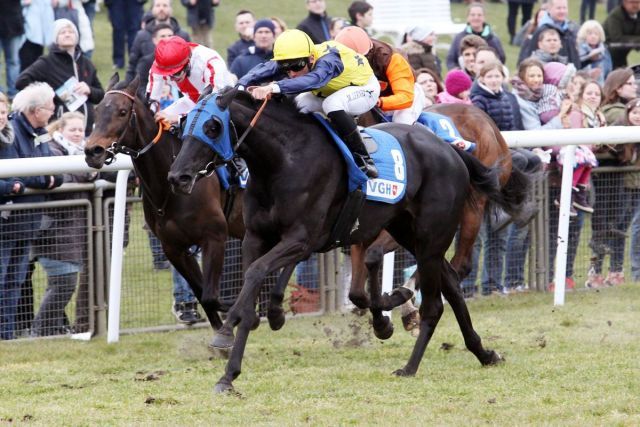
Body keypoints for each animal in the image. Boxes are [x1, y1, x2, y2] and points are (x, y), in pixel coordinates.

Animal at [83, 75, 245, 332]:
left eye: (122, 111)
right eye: (97, 110)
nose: (92, 151)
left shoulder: (214, 237)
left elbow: (212, 296)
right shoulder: (174, 248)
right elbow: (204, 296)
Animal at [166, 87, 510, 394]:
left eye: (212, 126)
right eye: (184, 124)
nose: (177, 177)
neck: (282, 160)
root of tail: (451, 149)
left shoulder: (301, 239)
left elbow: (256, 273)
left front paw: (226, 331)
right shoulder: (255, 238)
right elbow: (251, 290)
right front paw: (229, 374)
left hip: (430, 236)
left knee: (436, 303)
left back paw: (410, 364)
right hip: (408, 232)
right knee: (451, 282)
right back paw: (483, 352)